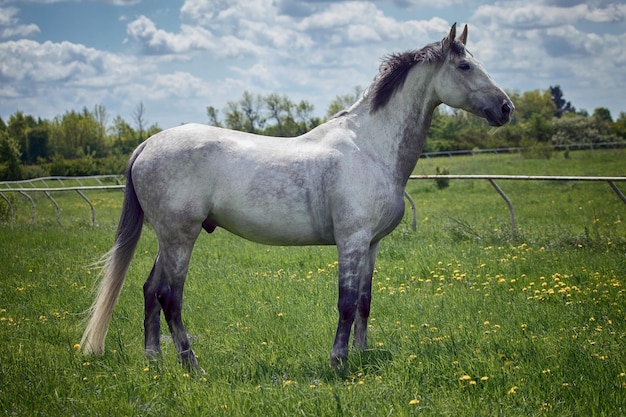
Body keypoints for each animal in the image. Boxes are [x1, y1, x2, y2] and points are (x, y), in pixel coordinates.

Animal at [80, 23, 512, 368]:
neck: (370, 146)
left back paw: (154, 360)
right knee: (170, 297)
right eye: (465, 66)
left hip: (168, 239)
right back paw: (192, 365)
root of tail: (147, 144)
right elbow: (346, 303)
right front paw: (338, 362)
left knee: (150, 291)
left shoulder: (371, 245)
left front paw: (363, 355)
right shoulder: (352, 241)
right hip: (180, 238)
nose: (506, 108)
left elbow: (365, 302)